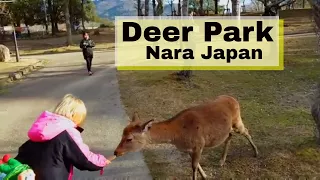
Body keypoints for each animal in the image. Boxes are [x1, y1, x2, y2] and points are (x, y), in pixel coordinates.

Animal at [114, 95, 258, 179]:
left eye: (129, 138)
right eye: (122, 133)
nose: (116, 152)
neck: (177, 135)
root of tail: (233, 98)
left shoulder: (199, 144)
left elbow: (193, 167)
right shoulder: (189, 149)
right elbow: (197, 165)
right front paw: (205, 176)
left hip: (237, 120)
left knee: (246, 131)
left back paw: (256, 153)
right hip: (229, 127)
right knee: (230, 135)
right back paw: (221, 161)